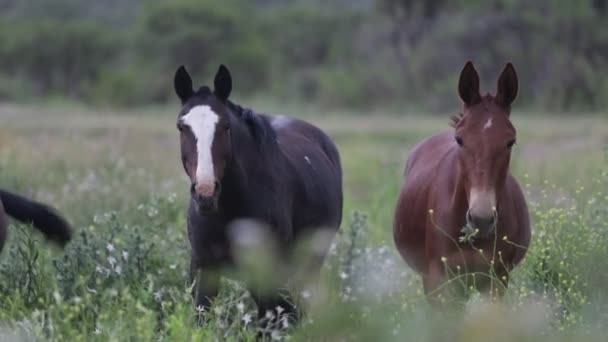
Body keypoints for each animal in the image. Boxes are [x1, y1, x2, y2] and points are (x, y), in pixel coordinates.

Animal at [173, 64, 342, 324]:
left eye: (225, 126)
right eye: (182, 127)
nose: (205, 192)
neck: (230, 211)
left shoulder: (268, 273)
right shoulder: (204, 268)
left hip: (309, 262)